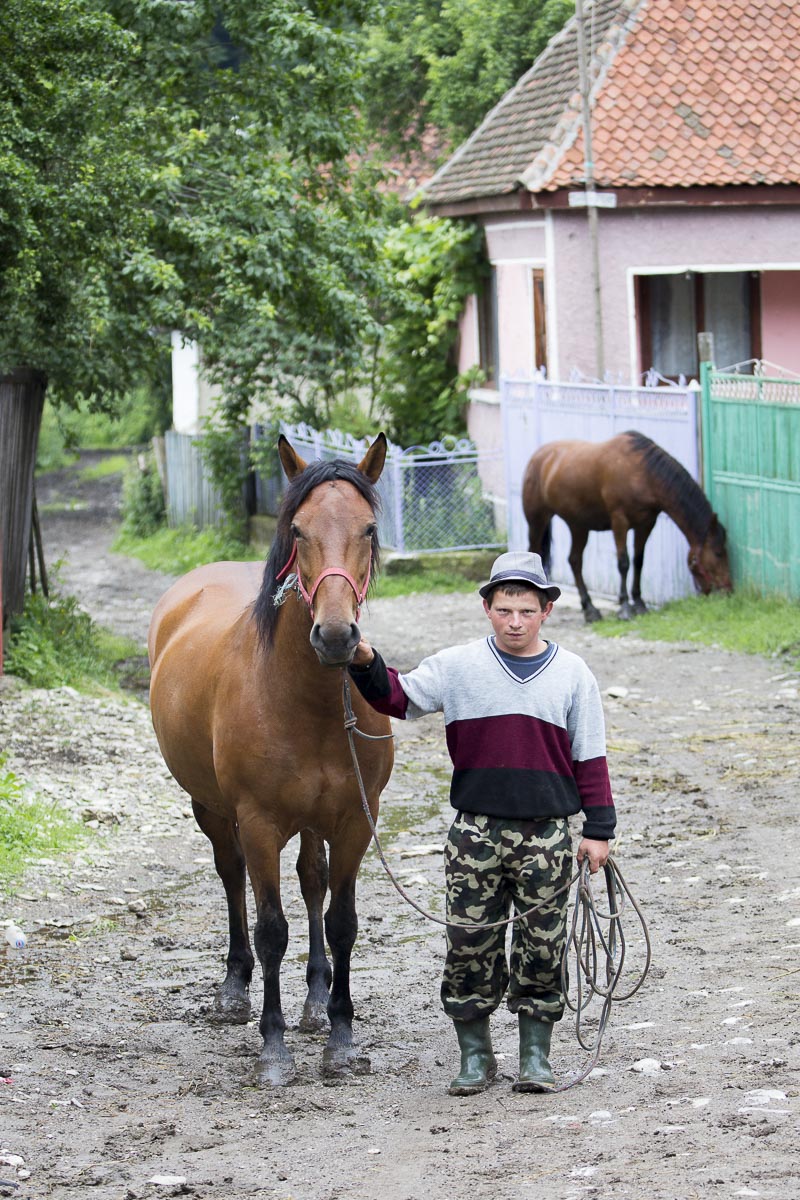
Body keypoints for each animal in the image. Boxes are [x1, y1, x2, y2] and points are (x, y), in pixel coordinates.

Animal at [147, 434, 394, 1085]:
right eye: (299, 530)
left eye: (368, 529)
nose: (335, 636)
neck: (306, 700)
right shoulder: (258, 822)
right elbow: (271, 929)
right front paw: (273, 1048)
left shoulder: (356, 820)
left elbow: (340, 921)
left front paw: (339, 1038)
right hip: (211, 808)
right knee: (231, 876)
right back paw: (235, 990)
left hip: (313, 820)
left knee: (311, 880)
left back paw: (314, 1000)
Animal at [521, 431, 732, 623]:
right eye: (718, 553)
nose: (728, 590)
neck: (643, 474)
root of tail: (538, 457)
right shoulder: (619, 521)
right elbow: (624, 562)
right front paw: (624, 607)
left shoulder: (646, 524)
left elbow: (639, 561)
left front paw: (639, 603)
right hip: (537, 519)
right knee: (535, 551)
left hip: (578, 525)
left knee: (575, 561)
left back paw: (590, 609)